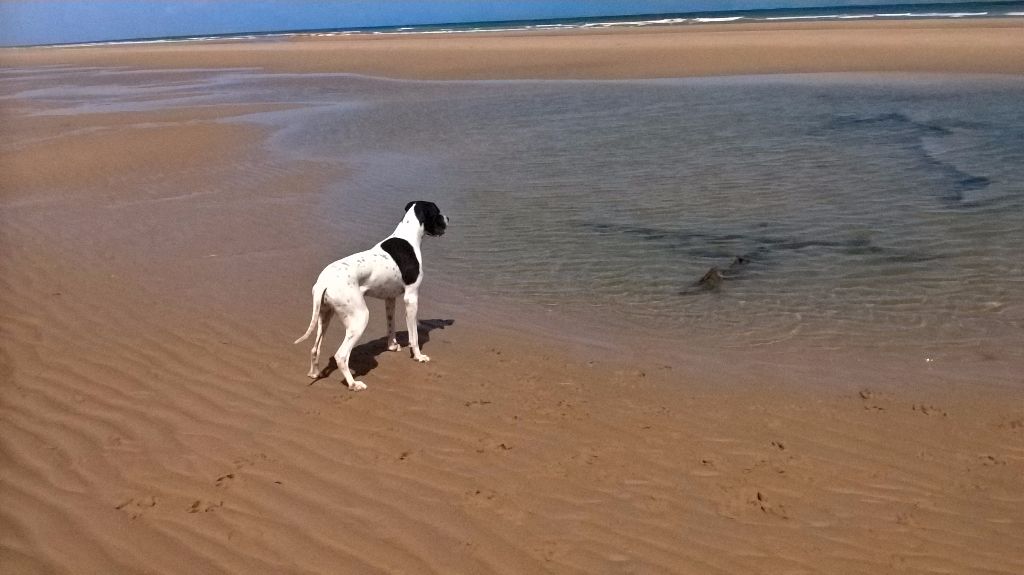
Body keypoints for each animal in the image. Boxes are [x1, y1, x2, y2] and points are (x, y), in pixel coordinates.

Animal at [296, 201, 448, 388]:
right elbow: (414, 336)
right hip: (360, 317)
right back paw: (353, 384)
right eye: (437, 212)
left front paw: (392, 346)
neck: (408, 236)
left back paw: (314, 373)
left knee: (315, 349)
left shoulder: (390, 299)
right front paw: (418, 356)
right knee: (341, 356)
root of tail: (324, 282)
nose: (448, 218)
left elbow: (391, 325)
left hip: (324, 316)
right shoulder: (411, 298)